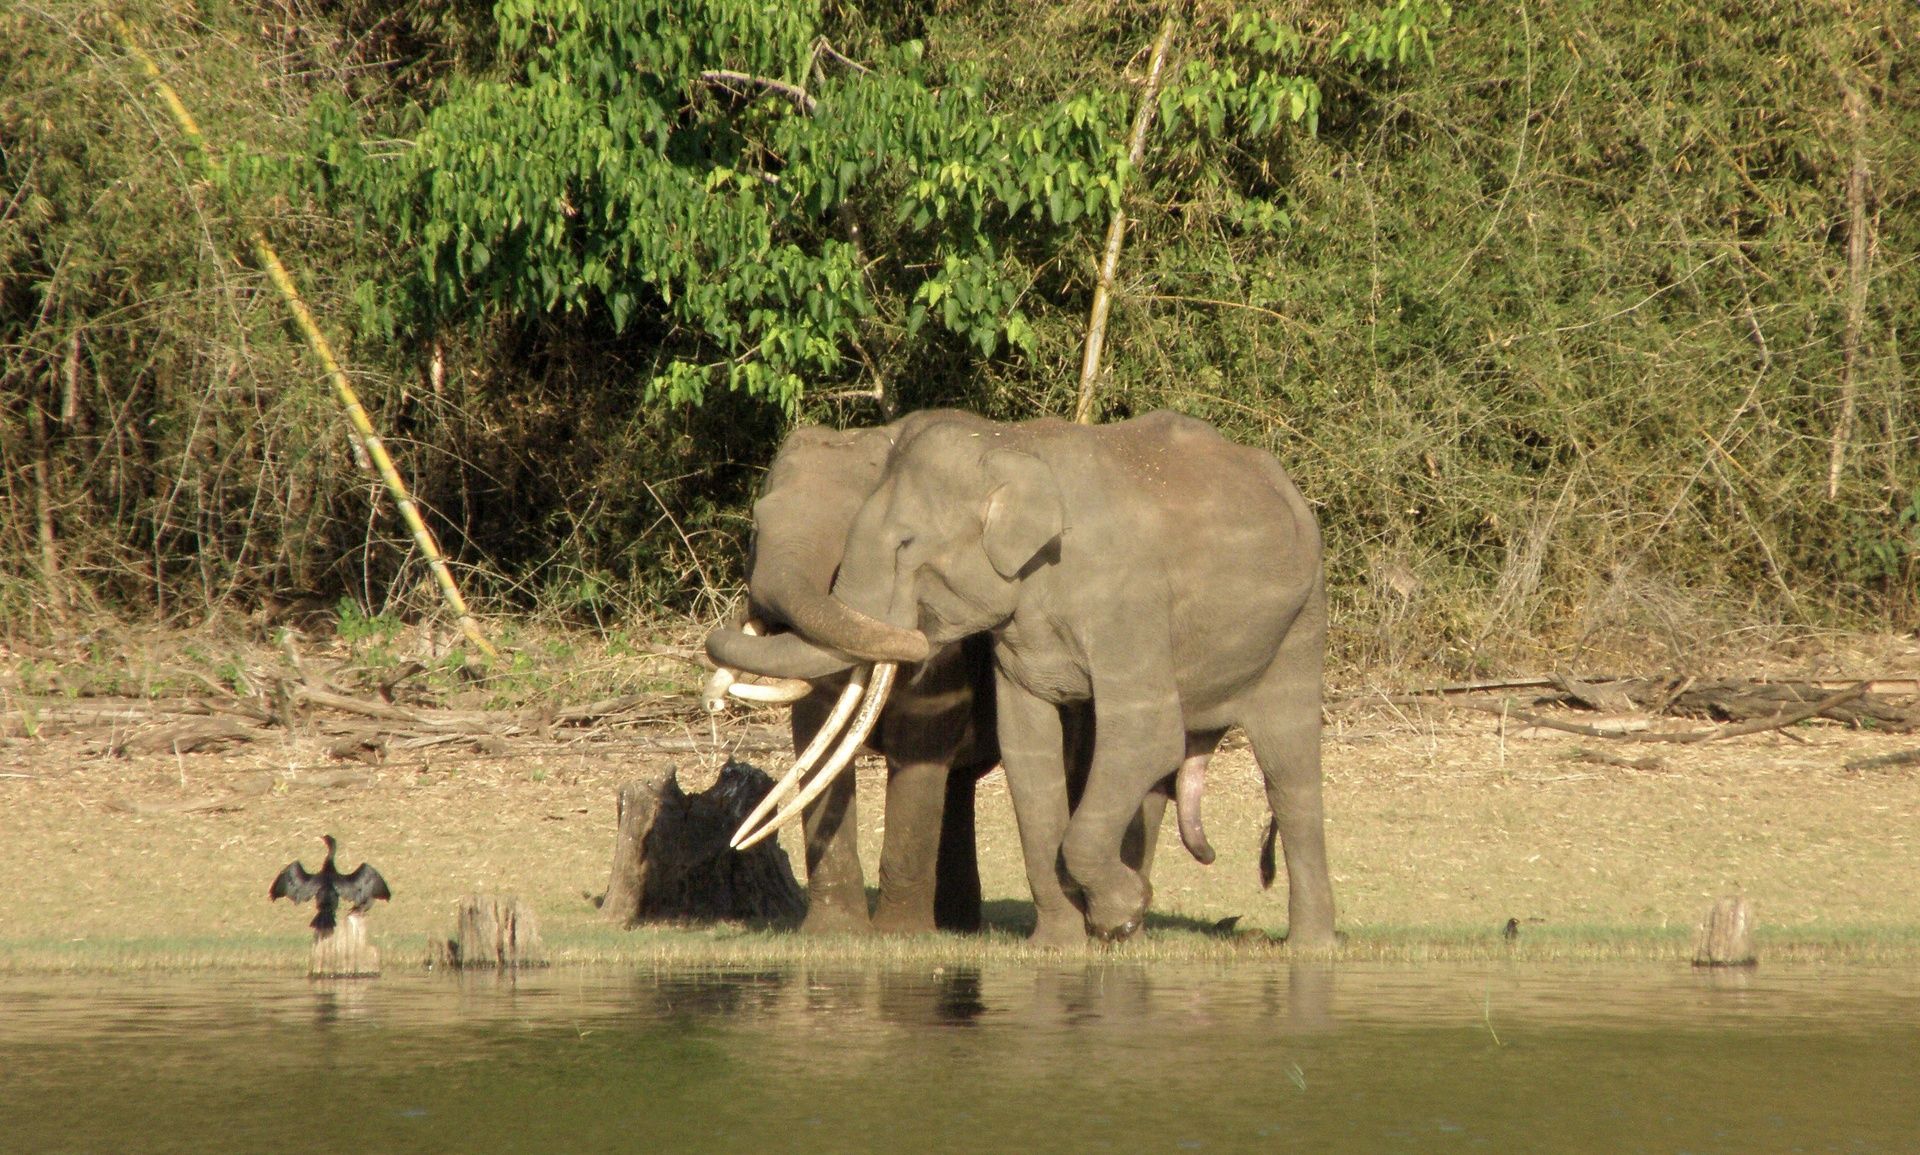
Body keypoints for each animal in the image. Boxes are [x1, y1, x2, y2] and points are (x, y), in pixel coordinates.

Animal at [707, 410, 1335, 948]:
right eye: (755, 531)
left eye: (906, 543)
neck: (1008, 446)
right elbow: (1028, 749)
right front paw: (1062, 943)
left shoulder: (1127, 601)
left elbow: (1146, 735)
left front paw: (1120, 913)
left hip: (1300, 622)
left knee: (1288, 769)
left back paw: (1306, 946)